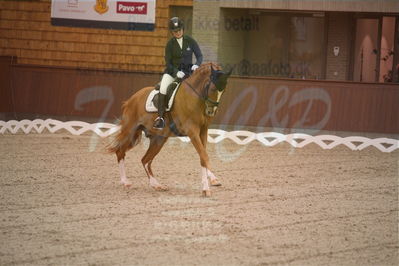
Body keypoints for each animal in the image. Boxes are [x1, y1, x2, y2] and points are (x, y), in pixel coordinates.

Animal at [108, 62, 233, 195]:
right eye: (213, 88)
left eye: (224, 91)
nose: (211, 112)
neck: (195, 98)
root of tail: (132, 99)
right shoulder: (192, 131)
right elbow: (204, 156)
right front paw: (206, 188)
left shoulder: (203, 131)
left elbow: (202, 157)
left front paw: (212, 181)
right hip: (130, 131)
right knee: (120, 152)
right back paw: (125, 181)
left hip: (159, 138)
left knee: (145, 160)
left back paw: (156, 185)